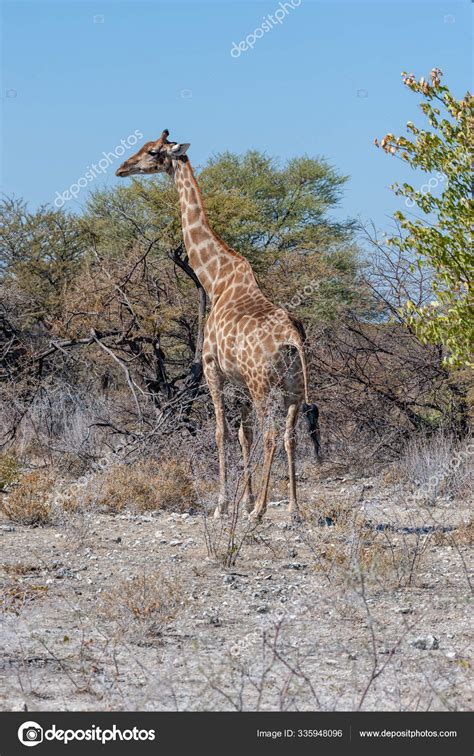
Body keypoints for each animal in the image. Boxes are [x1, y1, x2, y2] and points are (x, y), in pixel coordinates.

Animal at [116, 131, 320, 520]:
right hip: (293, 387)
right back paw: (294, 509)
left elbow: (221, 433)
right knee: (289, 436)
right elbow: (243, 434)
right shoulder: (238, 381)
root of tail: (292, 339)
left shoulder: (212, 368)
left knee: (272, 436)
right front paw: (245, 499)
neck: (215, 280)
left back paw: (261, 512)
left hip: (263, 384)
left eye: (152, 152)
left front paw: (226, 504)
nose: (121, 168)